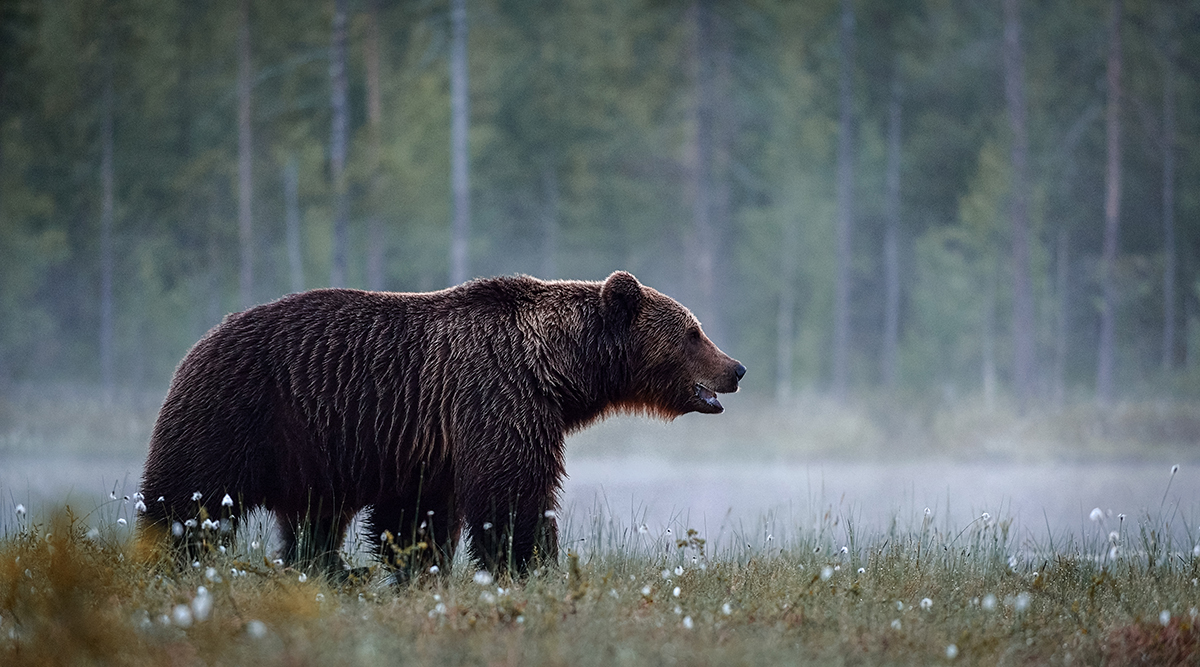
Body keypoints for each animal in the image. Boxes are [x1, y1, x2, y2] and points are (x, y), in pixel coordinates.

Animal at [138, 271, 739, 578]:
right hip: (237, 414)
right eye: (693, 332)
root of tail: (198, 344)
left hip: (311, 452)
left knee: (313, 521)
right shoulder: (494, 395)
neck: (555, 369)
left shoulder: (428, 443)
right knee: (189, 500)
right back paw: (168, 557)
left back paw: (332, 570)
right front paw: (531, 564)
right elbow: (512, 494)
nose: (736, 368)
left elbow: (416, 516)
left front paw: (418, 569)